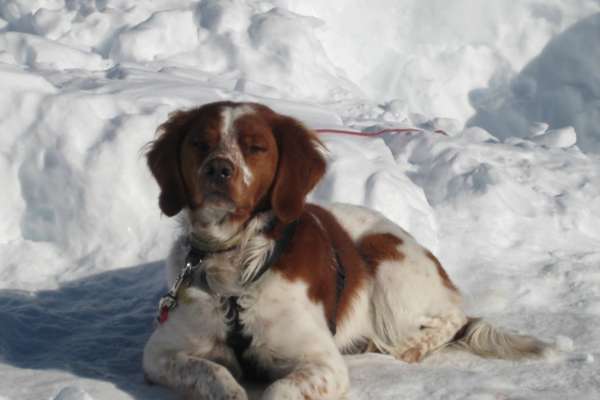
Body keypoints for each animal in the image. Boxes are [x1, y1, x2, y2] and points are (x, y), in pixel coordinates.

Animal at [142, 101, 552, 400]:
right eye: (199, 143)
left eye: (255, 147)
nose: (218, 170)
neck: (237, 261)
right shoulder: (160, 352)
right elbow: (210, 371)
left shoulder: (324, 362)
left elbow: (279, 389)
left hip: (385, 258)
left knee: (452, 317)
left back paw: (409, 347)